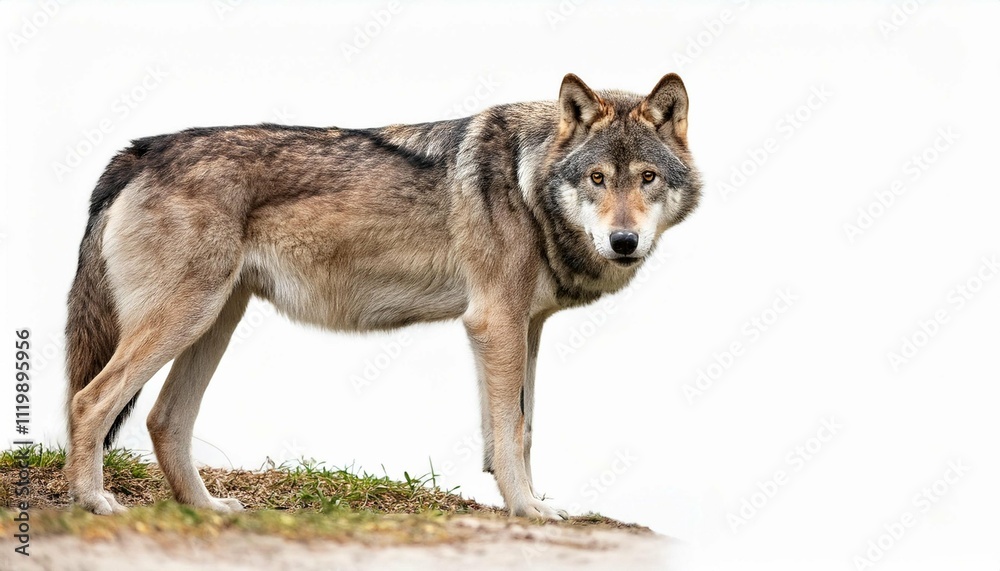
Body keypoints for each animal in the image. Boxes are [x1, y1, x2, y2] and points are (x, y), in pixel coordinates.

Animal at [64, 73, 701, 518]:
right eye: (598, 179)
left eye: (646, 178)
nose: (624, 241)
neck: (528, 183)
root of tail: (140, 149)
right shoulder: (496, 323)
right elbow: (511, 432)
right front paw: (527, 509)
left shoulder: (525, 328)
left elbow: (518, 430)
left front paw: (528, 500)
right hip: (185, 319)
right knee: (89, 402)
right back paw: (94, 502)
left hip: (214, 321)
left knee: (164, 420)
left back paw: (208, 510)